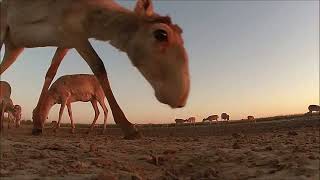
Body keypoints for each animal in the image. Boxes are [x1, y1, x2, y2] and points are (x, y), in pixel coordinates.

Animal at [0, 0, 190, 139]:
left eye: (181, 32)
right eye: (161, 34)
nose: (181, 97)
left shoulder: (66, 42)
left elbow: (51, 71)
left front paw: (38, 123)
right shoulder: (76, 36)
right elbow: (99, 66)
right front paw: (130, 128)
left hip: (14, 46)